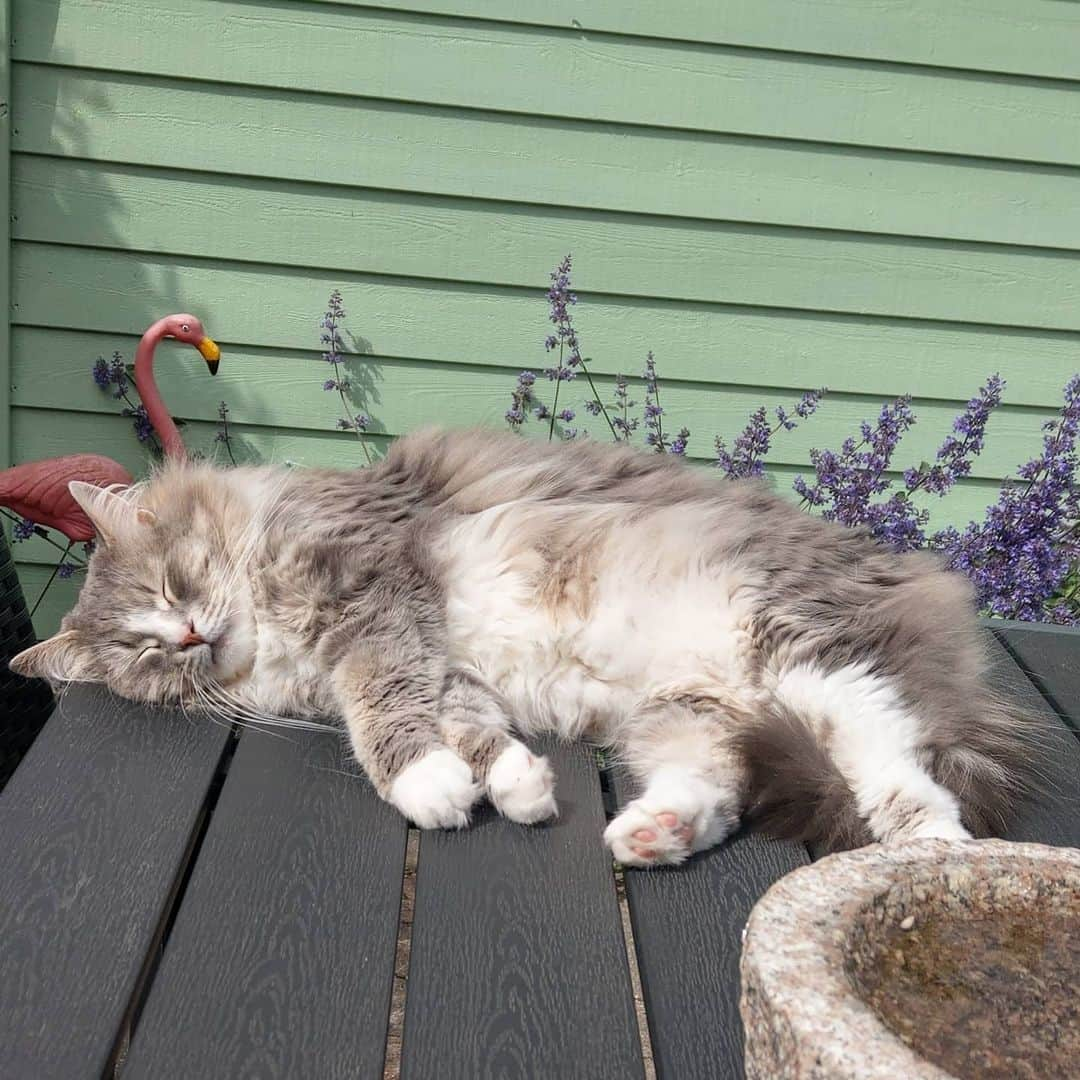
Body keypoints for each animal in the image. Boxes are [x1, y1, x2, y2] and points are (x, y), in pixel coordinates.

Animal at [8, 425, 1036, 864]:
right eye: (145, 654)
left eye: (172, 588)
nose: (187, 634)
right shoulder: (447, 664)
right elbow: (470, 729)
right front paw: (513, 788)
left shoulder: (372, 595)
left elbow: (383, 717)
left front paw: (426, 787)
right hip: (685, 712)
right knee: (722, 789)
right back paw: (650, 835)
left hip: (796, 648)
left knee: (891, 750)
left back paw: (929, 848)